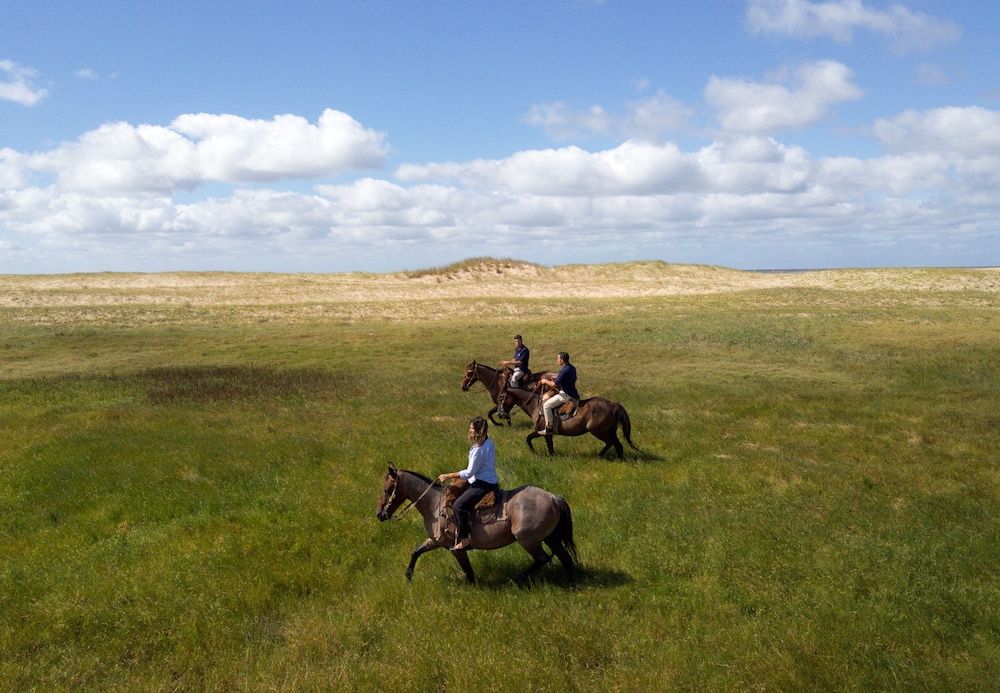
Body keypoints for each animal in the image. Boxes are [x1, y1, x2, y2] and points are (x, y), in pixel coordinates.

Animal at [376, 465, 578, 584]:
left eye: (387, 489)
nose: (380, 514)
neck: (434, 504)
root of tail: (554, 498)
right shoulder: (436, 541)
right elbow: (416, 551)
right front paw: (408, 576)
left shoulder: (456, 549)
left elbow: (468, 571)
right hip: (551, 538)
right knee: (565, 558)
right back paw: (571, 582)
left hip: (528, 540)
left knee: (542, 559)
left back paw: (517, 579)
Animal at [497, 370, 640, 459]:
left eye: (501, 398)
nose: (500, 414)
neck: (535, 405)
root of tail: (614, 405)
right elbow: (544, 444)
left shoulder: (544, 431)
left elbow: (530, 439)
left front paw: (535, 452)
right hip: (610, 431)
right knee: (618, 445)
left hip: (598, 431)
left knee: (611, 443)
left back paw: (599, 456)